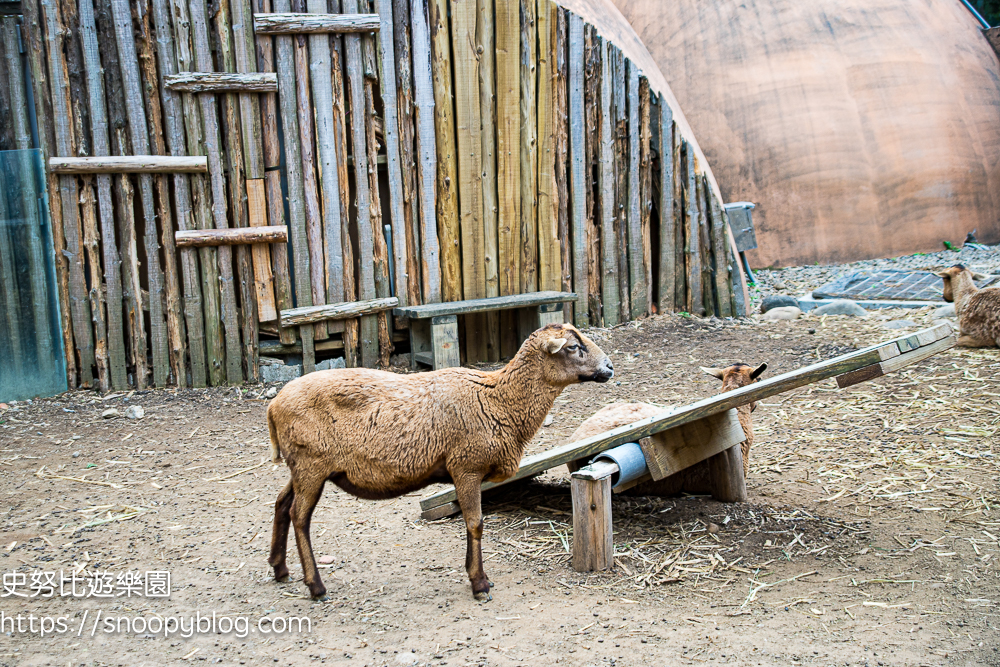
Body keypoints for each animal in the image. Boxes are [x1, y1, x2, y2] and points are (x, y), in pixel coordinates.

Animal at [266, 320, 608, 604]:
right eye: (573, 347)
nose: (610, 367)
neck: (497, 400)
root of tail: (273, 405)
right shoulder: (466, 468)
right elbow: (475, 523)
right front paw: (480, 584)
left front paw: (478, 577)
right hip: (311, 464)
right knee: (299, 517)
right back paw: (316, 586)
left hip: (302, 466)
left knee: (281, 504)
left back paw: (279, 569)